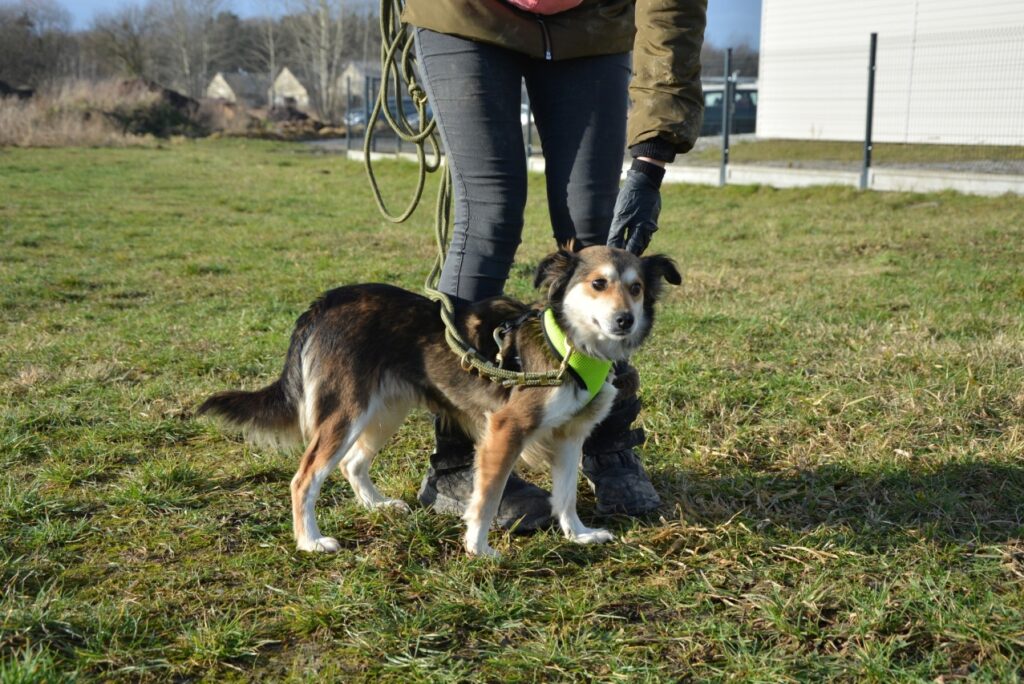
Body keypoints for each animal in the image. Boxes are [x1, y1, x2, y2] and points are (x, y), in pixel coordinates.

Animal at [198, 245, 679, 557]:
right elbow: (486, 498)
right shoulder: (505, 430)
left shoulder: (570, 437)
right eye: (598, 284)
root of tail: (326, 302)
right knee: (304, 479)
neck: (569, 347)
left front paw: (577, 535)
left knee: (353, 463)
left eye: (636, 288)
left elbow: (566, 495)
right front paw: (478, 548)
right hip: (345, 412)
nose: (625, 320)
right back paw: (310, 541)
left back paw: (377, 506)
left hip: (383, 410)